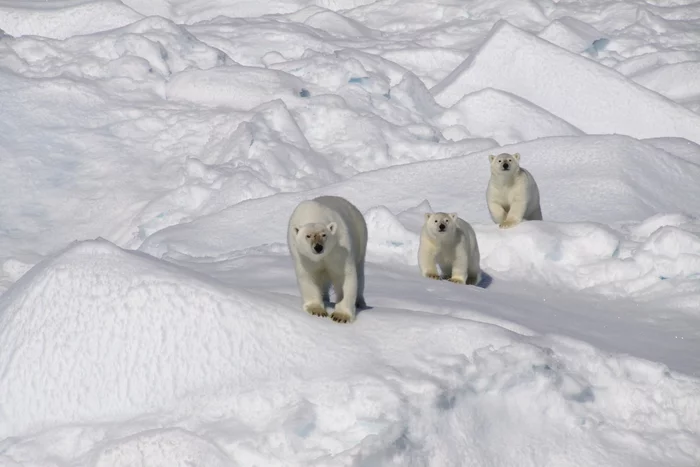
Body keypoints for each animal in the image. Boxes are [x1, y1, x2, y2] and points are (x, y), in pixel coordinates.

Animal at [287, 195, 368, 323]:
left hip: (361, 237)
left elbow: (343, 275)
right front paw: (316, 310)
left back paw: (360, 302)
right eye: (308, 236)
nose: (318, 247)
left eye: (324, 234)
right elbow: (308, 275)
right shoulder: (303, 256)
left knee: (360, 271)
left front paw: (341, 315)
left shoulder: (339, 249)